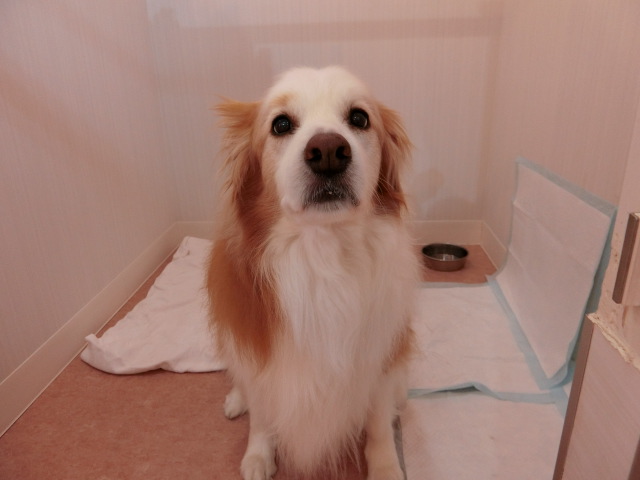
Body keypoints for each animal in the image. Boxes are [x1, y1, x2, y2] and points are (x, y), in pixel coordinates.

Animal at [207, 66, 419, 480]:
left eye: (359, 118)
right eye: (281, 124)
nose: (328, 151)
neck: (322, 255)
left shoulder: (381, 358)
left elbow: (378, 421)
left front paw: (385, 464)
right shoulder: (259, 357)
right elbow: (262, 415)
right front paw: (258, 455)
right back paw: (236, 400)